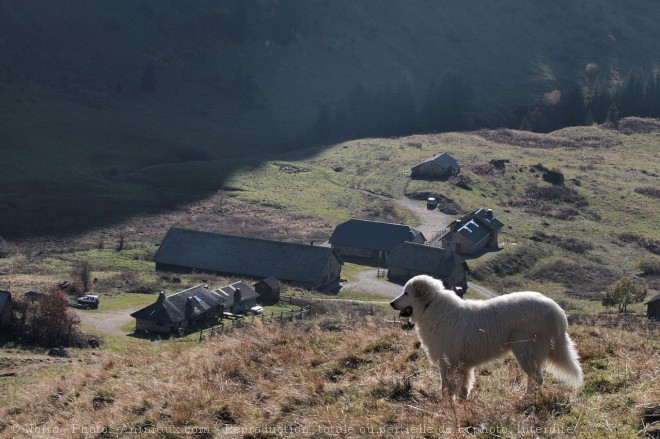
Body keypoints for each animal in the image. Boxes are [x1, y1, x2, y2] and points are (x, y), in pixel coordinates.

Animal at [392, 276, 584, 400]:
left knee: (536, 379)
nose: (392, 303)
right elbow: (464, 387)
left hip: (525, 351)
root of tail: (558, 312)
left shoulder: (448, 363)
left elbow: (446, 387)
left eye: (406, 293)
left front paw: (445, 405)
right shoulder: (463, 365)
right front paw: (461, 402)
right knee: (536, 379)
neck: (430, 306)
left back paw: (526, 399)